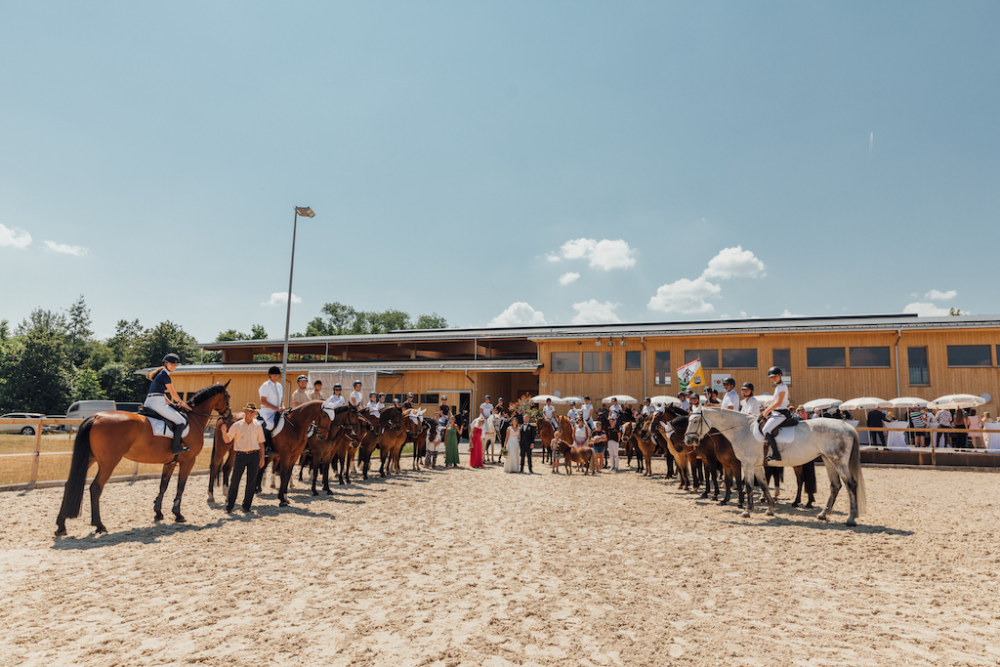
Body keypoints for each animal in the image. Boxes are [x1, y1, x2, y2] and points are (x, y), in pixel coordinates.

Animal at [57, 384, 232, 536]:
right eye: (228, 396)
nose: (229, 416)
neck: (193, 418)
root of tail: (96, 416)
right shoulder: (188, 461)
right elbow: (180, 487)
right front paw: (178, 514)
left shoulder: (170, 462)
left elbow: (163, 486)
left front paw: (158, 512)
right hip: (109, 462)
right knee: (96, 488)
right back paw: (99, 525)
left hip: (90, 459)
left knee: (69, 484)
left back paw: (61, 526)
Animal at [688, 408, 868, 528]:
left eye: (695, 421)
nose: (688, 440)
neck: (742, 429)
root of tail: (846, 426)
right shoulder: (757, 466)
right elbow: (763, 485)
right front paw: (770, 509)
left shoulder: (747, 464)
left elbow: (748, 487)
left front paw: (747, 511)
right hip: (828, 460)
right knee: (835, 485)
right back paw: (823, 514)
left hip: (838, 462)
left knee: (851, 484)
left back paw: (851, 518)